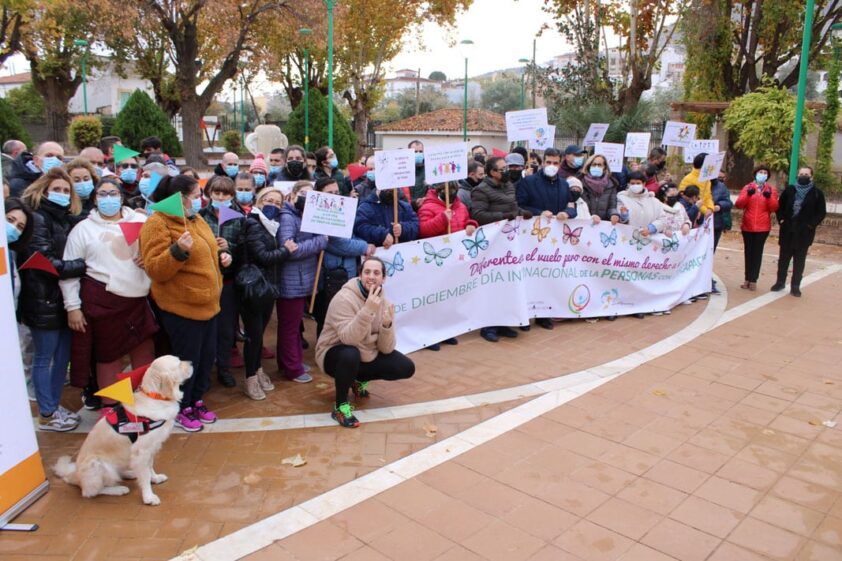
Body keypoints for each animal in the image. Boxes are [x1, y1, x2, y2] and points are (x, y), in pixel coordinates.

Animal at [55, 356, 193, 506]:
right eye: (178, 364)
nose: (192, 363)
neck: (154, 396)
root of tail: (74, 475)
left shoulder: (151, 448)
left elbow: (149, 467)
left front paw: (155, 478)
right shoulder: (141, 451)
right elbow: (145, 476)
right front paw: (149, 497)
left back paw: (130, 473)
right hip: (97, 465)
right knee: (90, 492)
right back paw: (118, 489)